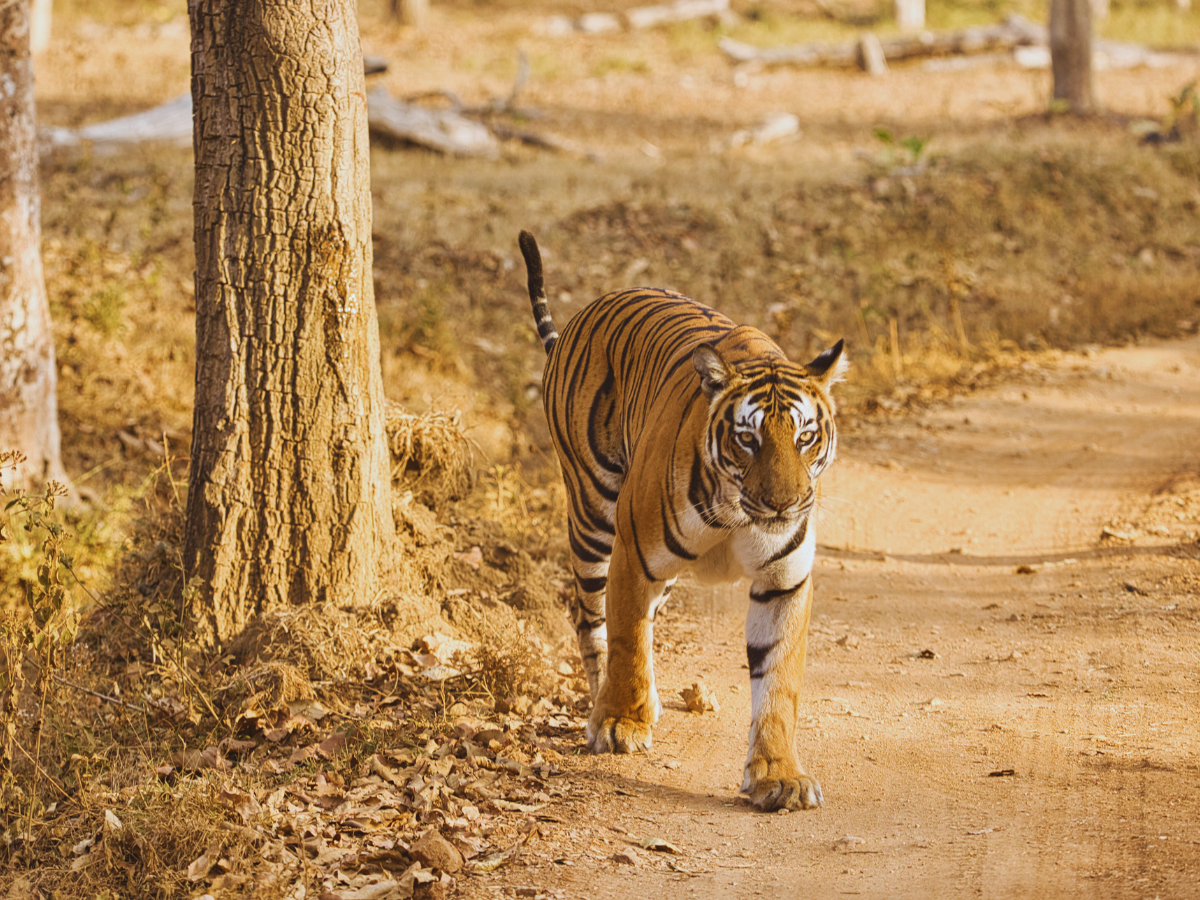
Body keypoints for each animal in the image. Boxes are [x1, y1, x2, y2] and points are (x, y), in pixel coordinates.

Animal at [520, 230, 849, 811]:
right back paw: (607, 706)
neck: (738, 513)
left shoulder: (783, 581)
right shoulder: (633, 554)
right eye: (749, 439)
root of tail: (584, 314)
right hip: (593, 515)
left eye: (805, 437)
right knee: (592, 621)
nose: (784, 505)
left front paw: (778, 776)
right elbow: (627, 637)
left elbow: (778, 679)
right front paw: (621, 724)